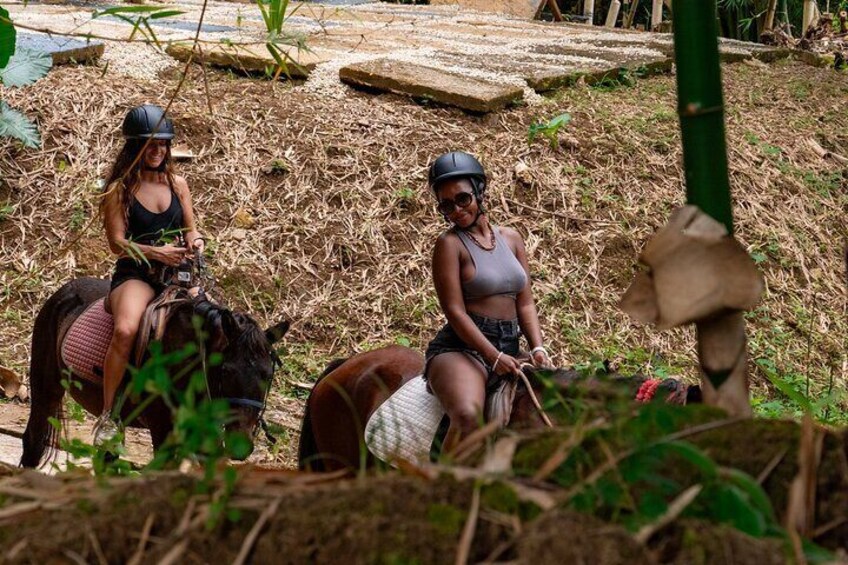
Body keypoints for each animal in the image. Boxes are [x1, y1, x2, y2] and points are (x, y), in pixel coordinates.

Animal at [20, 278, 292, 468]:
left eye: (268, 375)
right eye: (226, 371)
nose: (240, 445)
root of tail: (64, 291)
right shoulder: (163, 429)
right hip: (47, 388)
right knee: (34, 442)